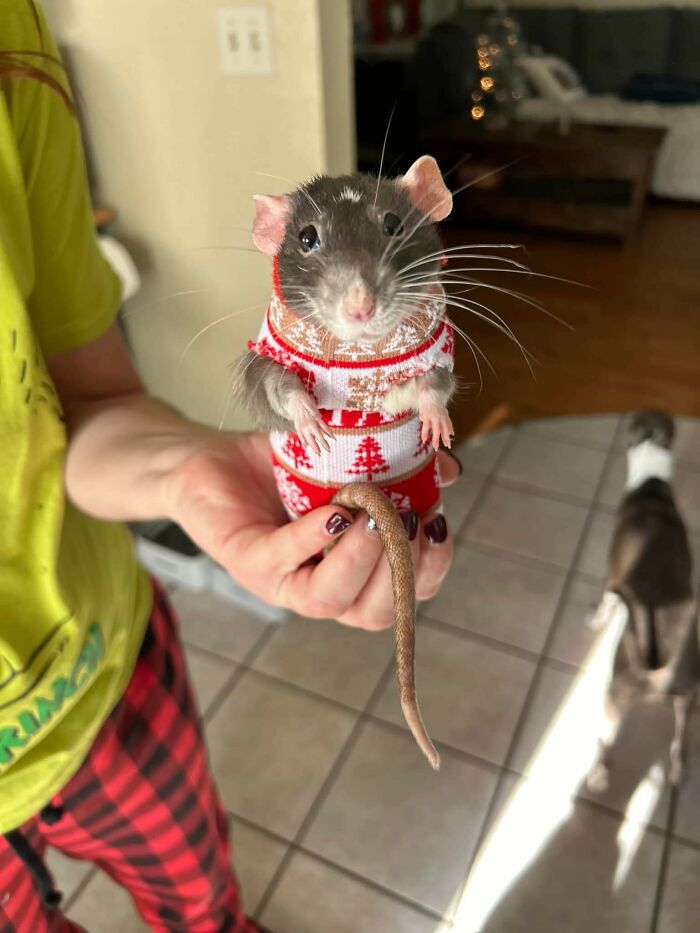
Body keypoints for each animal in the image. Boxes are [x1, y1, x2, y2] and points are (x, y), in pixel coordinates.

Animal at [588, 410, 696, 788]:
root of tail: (657, 667)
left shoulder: (611, 577)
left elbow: (605, 602)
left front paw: (596, 620)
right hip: (688, 697)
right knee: (680, 740)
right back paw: (677, 771)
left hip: (612, 697)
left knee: (603, 739)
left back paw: (597, 775)